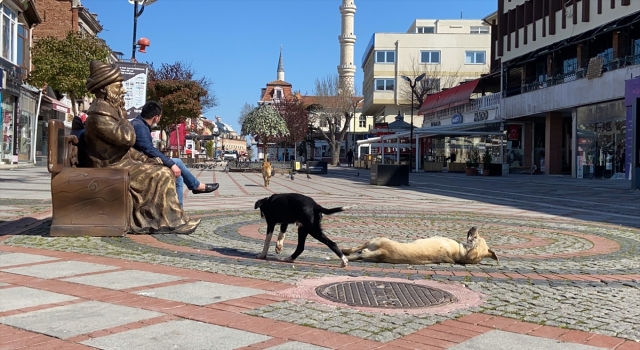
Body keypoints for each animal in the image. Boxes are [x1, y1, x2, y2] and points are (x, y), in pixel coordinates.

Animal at [342, 227, 498, 266]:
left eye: (475, 238)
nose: (474, 227)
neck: (459, 253)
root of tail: (383, 252)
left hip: (375, 240)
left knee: (355, 250)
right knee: (357, 252)